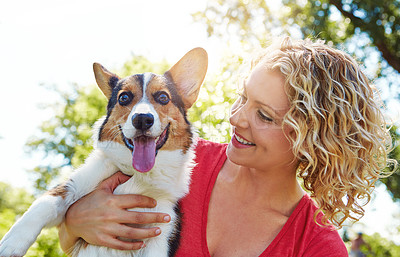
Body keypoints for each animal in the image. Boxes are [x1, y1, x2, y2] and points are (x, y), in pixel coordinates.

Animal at [0, 47, 206, 255]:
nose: (142, 119)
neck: (137, 174)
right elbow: (43, 206)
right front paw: (11, 244)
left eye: (163, 97)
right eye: (124, 97)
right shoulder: (74, 186)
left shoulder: (162, 229)